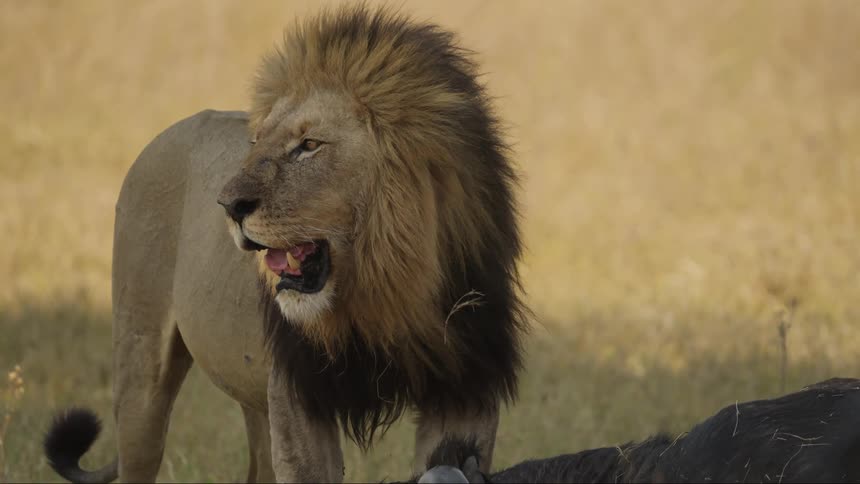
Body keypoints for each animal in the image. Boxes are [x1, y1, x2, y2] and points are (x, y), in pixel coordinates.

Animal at [43, 6, 527, 483]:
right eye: (256, 142)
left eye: (309, 145)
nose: (228, 205)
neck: (386, 287)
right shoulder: (298, 393)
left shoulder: (465, 388)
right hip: (141, 364)